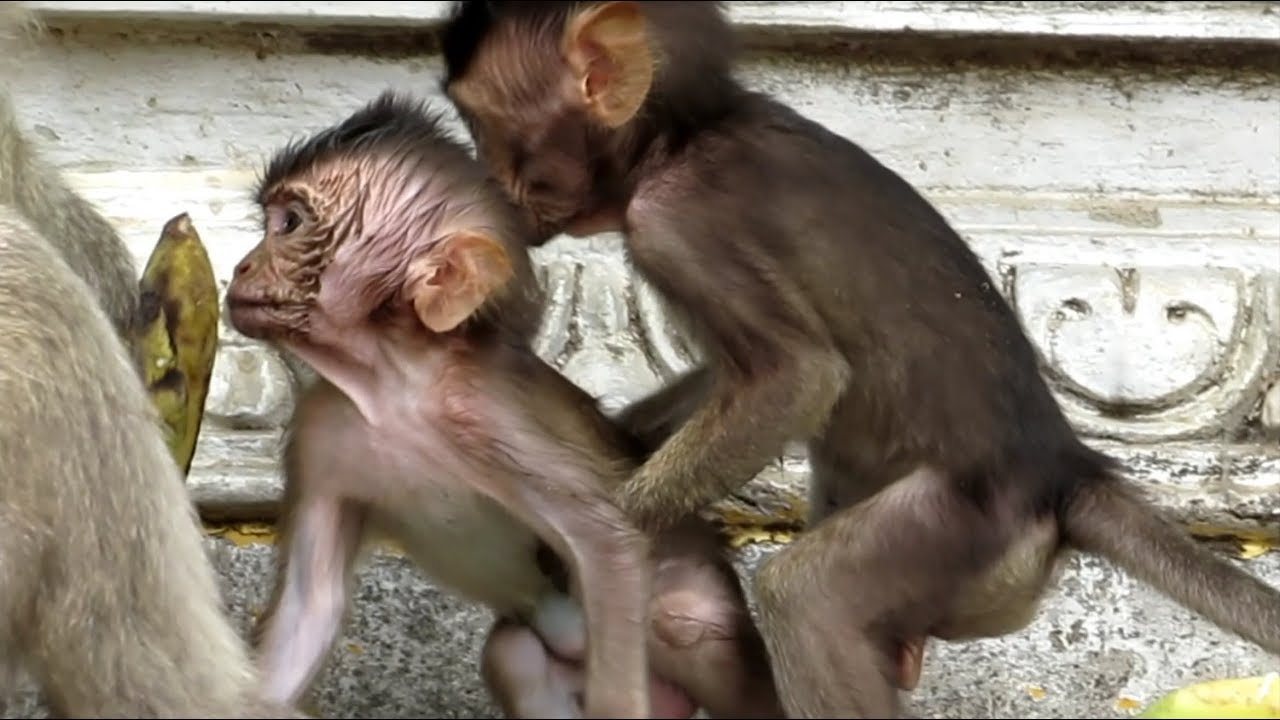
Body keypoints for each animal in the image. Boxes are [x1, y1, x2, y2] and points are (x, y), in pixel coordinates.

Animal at [226, 90, 784, 719]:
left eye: (290, 224)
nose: (241, 265)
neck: (397, 390)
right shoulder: (319, 433)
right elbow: (310, 607)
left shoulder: (495, 422)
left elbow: (610, 544)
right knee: (514, 654)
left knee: (687, 621)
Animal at [437, 2, 1280, 717]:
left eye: (486, 127)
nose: (490, 182)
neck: (681, 140)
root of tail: (1061, 470)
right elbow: (738, 377)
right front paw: (622, 436)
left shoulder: (677, 223)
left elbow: (798, 377)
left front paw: (601, 536)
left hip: (961, 526)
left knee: (806, 596)